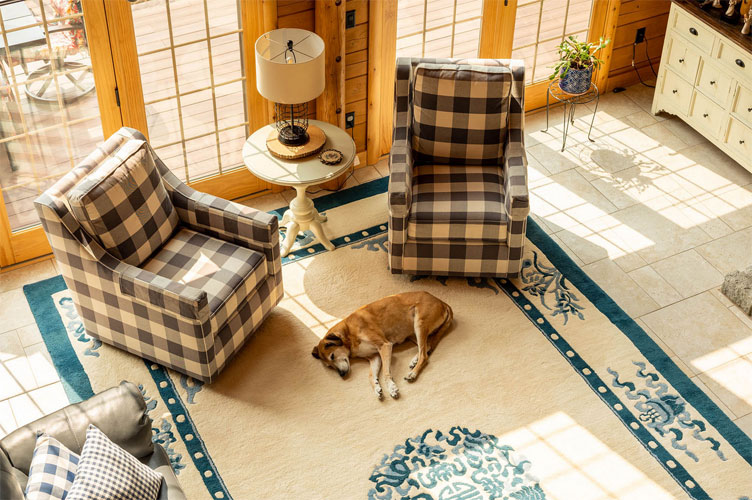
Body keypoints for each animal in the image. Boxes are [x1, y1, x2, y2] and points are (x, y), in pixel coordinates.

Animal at [312, 292, 452, 400]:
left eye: (332, 356)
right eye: (329, 366)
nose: (341, 375)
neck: (349, 334)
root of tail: (442, 302)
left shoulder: (384, 346)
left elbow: (385, 372)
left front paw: (391, 388)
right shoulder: (375, 357)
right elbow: (370, 377)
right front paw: (377, 388)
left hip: (419, 323)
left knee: (424, 355)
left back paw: (413, 373)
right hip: (411, 331)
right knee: (427, 347)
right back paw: (414, 360)